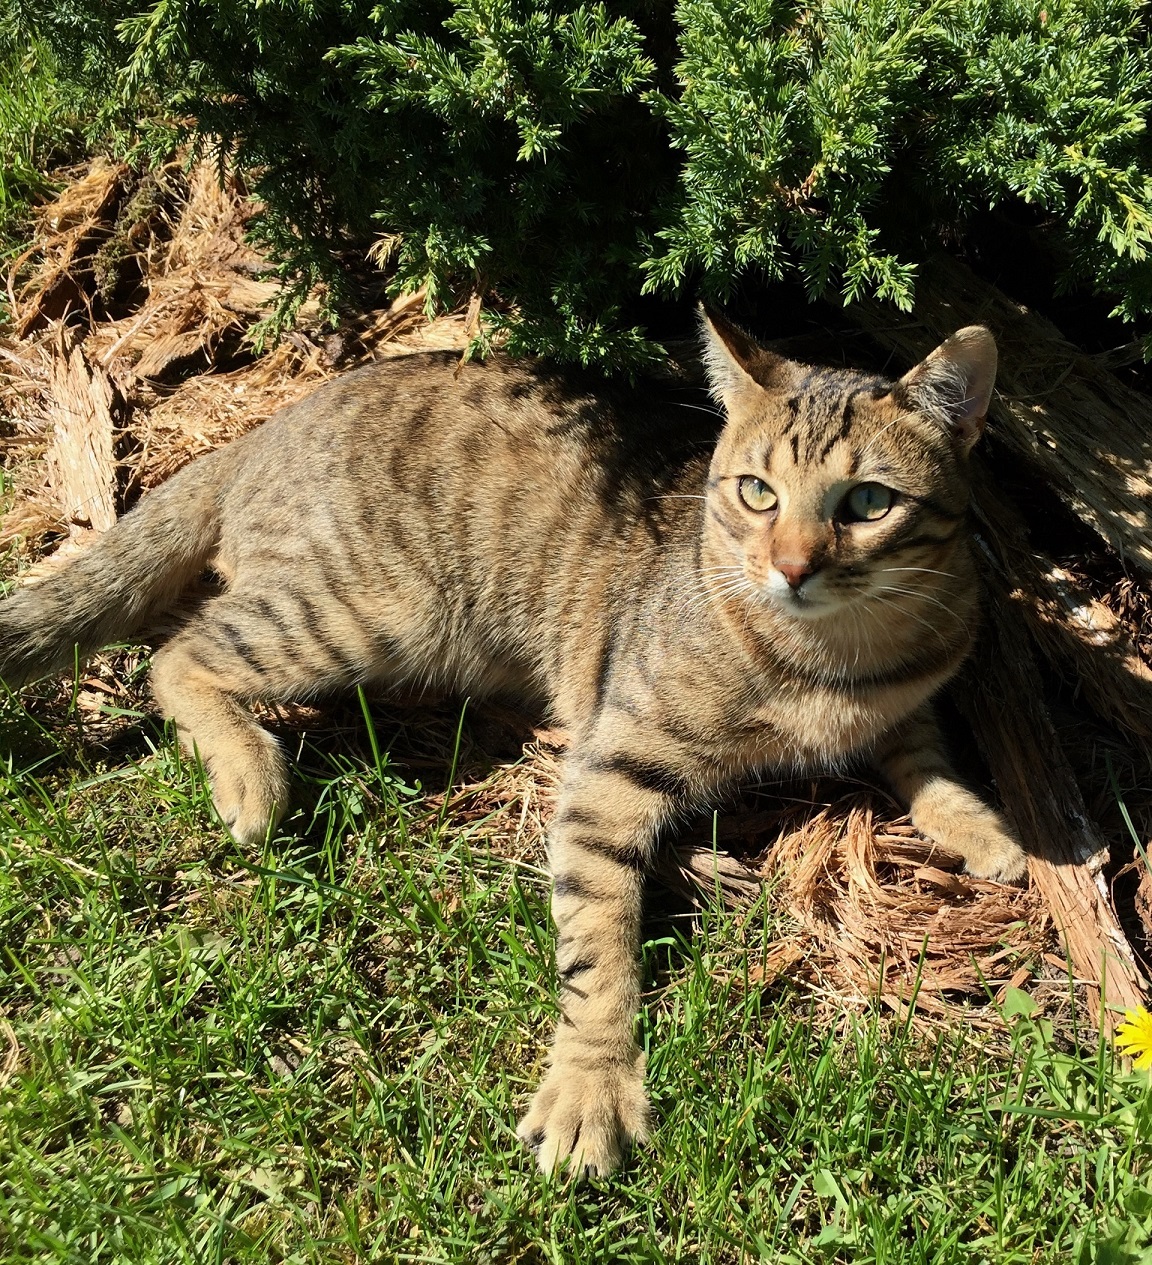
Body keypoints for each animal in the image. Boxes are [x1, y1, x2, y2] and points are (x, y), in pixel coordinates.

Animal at [0, 313, 1026, 1173]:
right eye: (756, 492)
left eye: (868, 501)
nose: (792, 567)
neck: (834, 663)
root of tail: (263, 428)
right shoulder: (608, 768)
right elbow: (598, 949)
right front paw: (592, 1084)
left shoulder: (912, 698)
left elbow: (927, 759)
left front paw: (987, 830)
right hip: (369, 612)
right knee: (175, 653)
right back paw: (250, 773)